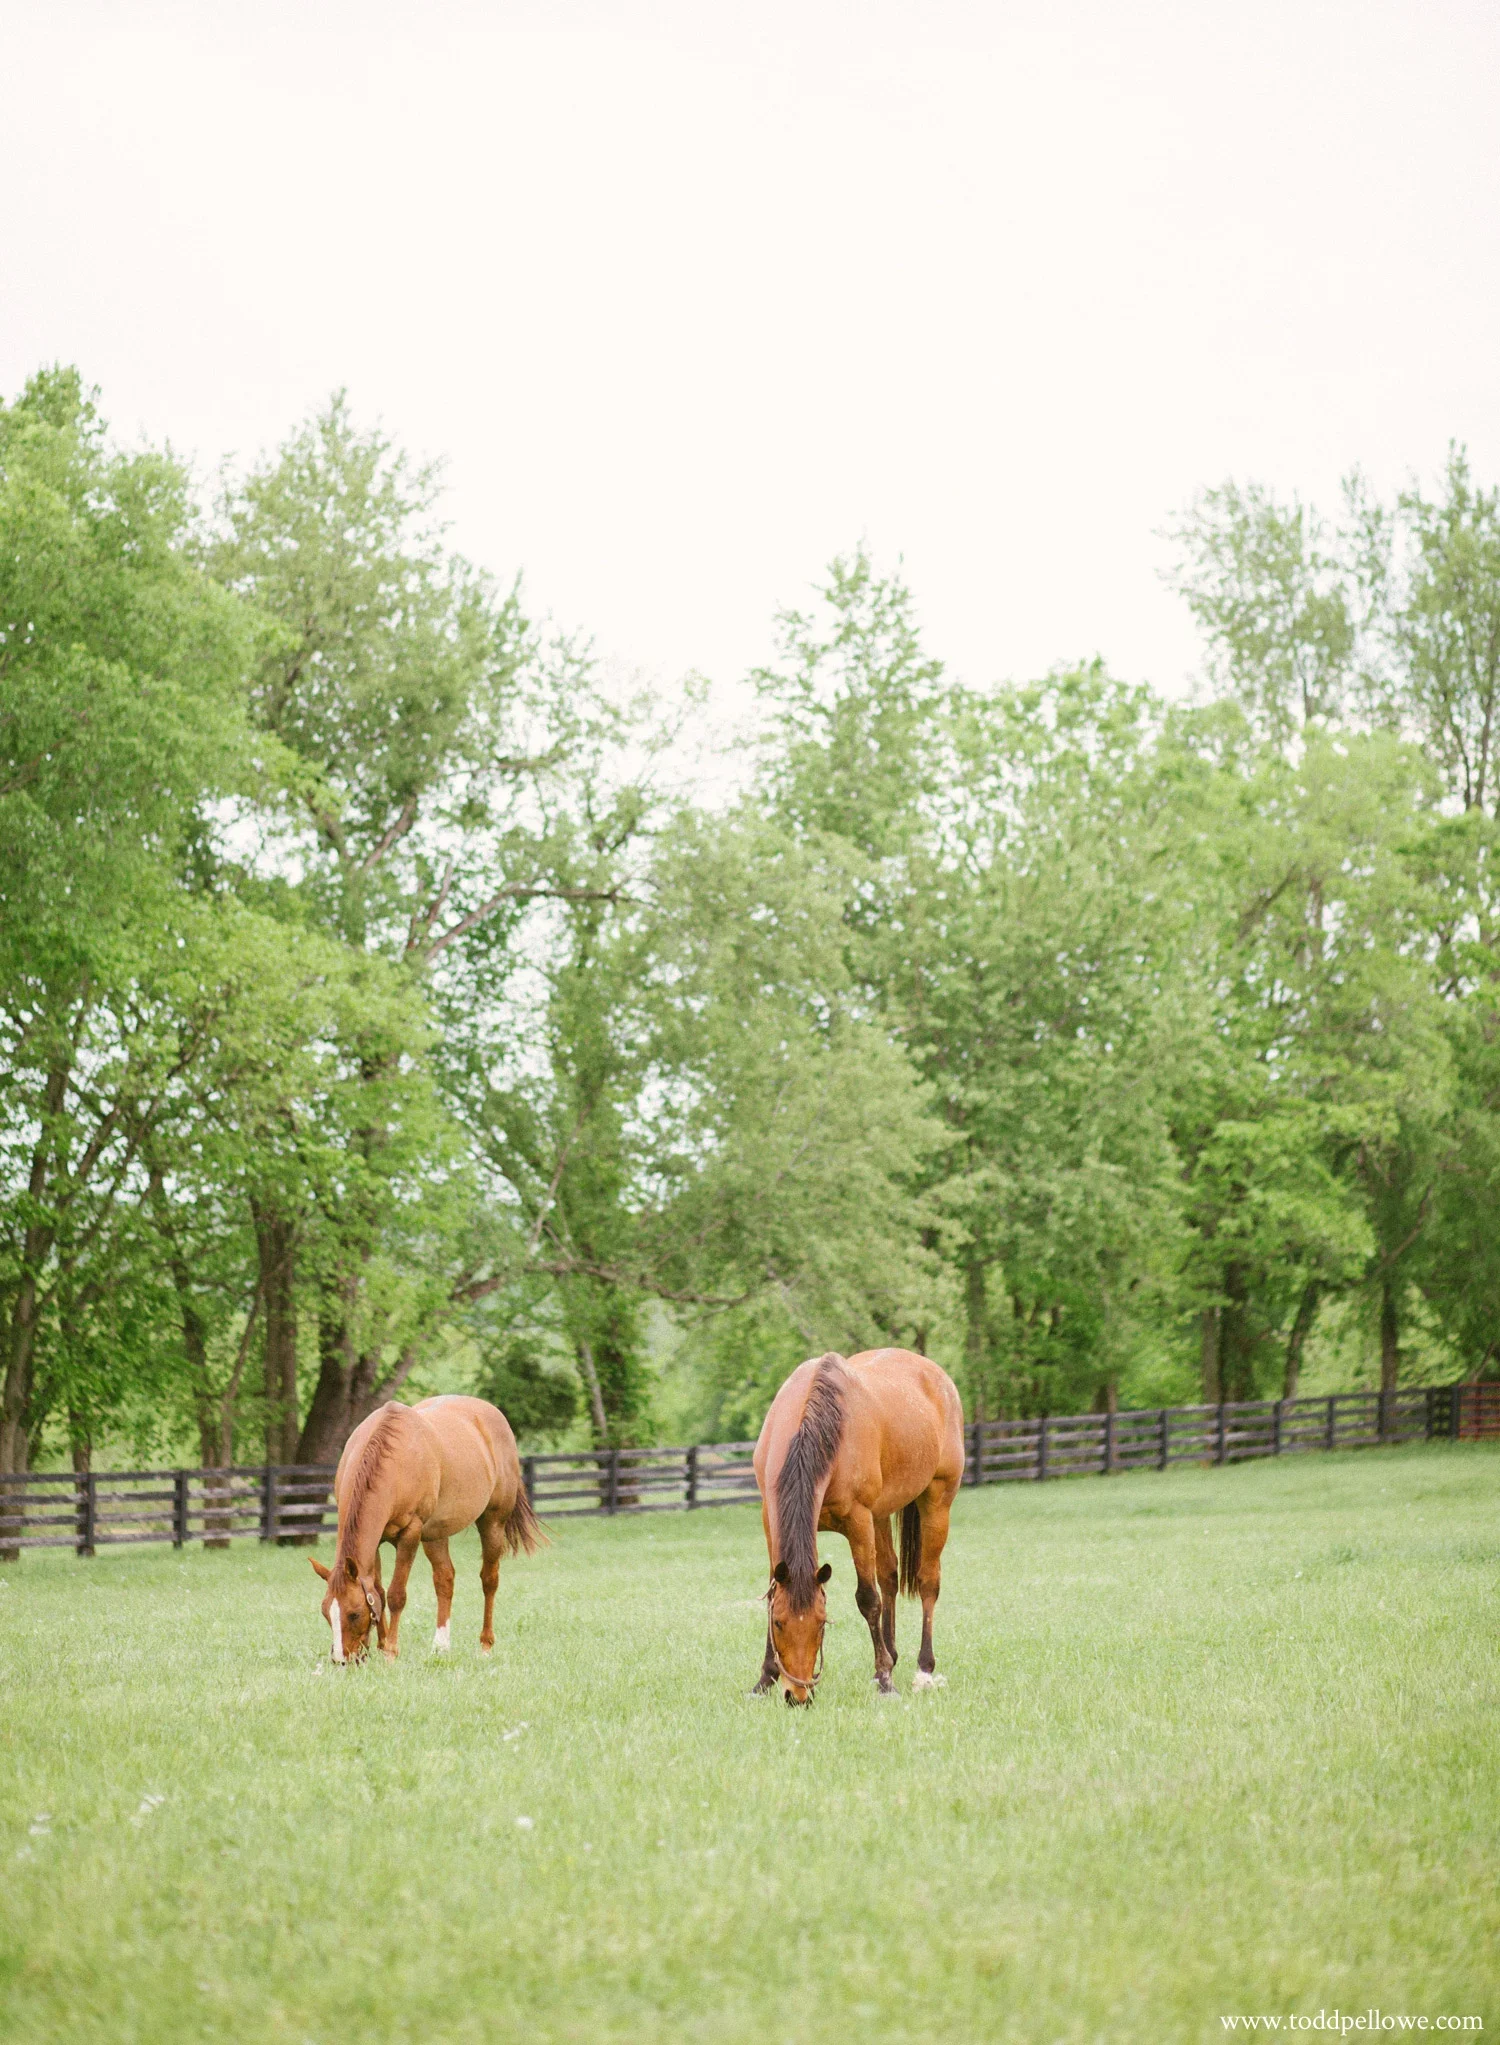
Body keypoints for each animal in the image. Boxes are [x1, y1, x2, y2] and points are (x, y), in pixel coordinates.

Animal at [311, 1394, 543, 1663]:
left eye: (354, 1613)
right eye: (326, 1613)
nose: (341, 1659)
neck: (392, 1462)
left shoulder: (410, 1534)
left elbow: (396, 1595)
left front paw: (390, 1651)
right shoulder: (377, 1540)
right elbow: (378, 1593)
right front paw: (381, 1644)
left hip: (492, 1523)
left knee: (489, 1580)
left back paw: (485, 1645)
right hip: (435, 1535)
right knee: (445, 1579)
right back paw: (440, 1646)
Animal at [751, 1348, 964, 1705]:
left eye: (821, 1624)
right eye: (779, 1624)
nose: (797, 1695)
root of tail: (937, 1375)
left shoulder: (858, 1521)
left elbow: (867, 1599)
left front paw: (885, 1681)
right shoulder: (771, 1518)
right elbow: (771, 1593)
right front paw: (764, 1680)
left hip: (937, 1500)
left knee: (927, 1583)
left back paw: (923, 1670)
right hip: (881, 1515)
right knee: (889, 1576)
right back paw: (892, 1656)